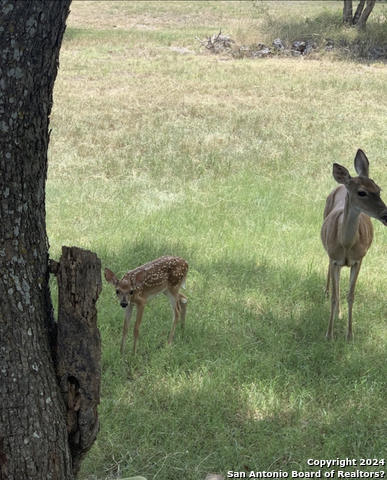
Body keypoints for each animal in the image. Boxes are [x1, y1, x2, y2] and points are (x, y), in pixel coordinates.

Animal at [322, 150, 387, 342]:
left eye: (379, 189)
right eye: (362, 192)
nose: (386, 215)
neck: (346, 245)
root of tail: (341, 185)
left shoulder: (359, 260)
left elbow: (350, 296)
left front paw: (349, 334)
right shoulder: (334, 259)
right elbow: (335, 297)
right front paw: (329, 335)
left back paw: (340, 314)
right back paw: (326, 294)